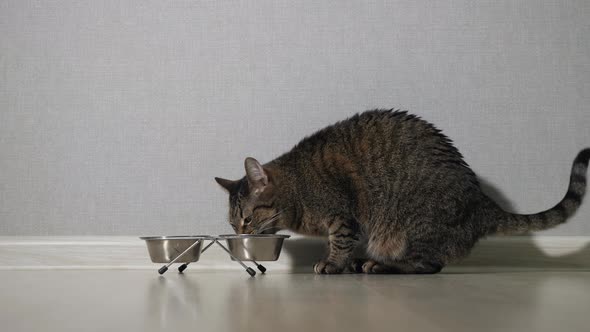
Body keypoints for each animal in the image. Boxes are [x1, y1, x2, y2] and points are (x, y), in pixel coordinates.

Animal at [215, 110, 588, 274]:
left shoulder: (342, 216)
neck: (297, 190)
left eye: (247, 219)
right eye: (234, 224)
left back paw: (378, 266)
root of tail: (481, 201)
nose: (240, 233)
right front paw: (340, 262)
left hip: (413, 226)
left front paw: (333, 264)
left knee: (428, 265)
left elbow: (339, 242)